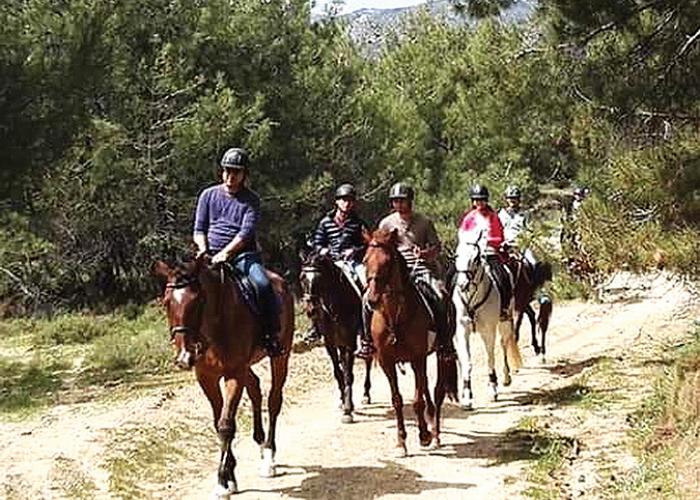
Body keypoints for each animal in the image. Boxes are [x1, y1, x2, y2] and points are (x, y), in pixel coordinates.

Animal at [154, 256, 294, 498]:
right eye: (166, 302)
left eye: (198, 301)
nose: (184, 357)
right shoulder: (207, 377)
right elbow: (217, 422)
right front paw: (230, 475)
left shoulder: (233, 374)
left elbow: (226, 425)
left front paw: (222, 482)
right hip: (246, 366)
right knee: (255, 388)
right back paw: (260, 444)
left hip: (280, 357)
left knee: (274, 400)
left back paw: (268, 457)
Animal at [298, 249, 372, 422]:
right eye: (302, 278)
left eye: (319, 279)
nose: (310, 310)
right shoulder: (330, 344)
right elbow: (338, 373)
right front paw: (343, 402)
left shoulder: (350, 343)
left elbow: (348, 375)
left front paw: (348, 410)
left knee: (368, 361)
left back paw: (366, 395)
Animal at [364, 229, 456, 456]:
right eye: (365, 260)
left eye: (388, 262)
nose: (372, 300)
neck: (395, 317)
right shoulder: (387, 362)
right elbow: (397, 400)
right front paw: (401, 442)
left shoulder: (418, 358)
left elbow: (417, 401)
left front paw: (424, 436)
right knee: (426, 389)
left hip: (440, 354)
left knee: (437, 391)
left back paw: (436, 434)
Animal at [452, 232, 524, 408]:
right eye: (456, 256)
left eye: (475, 258)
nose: (462, 285)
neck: (471, 299)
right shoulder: (462, 330)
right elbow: (467, 361)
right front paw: (467, 396)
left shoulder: (488, 331)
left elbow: (489, 358)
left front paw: (493, 388)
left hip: (505, 321)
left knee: (504, 344)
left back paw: (506, 377)